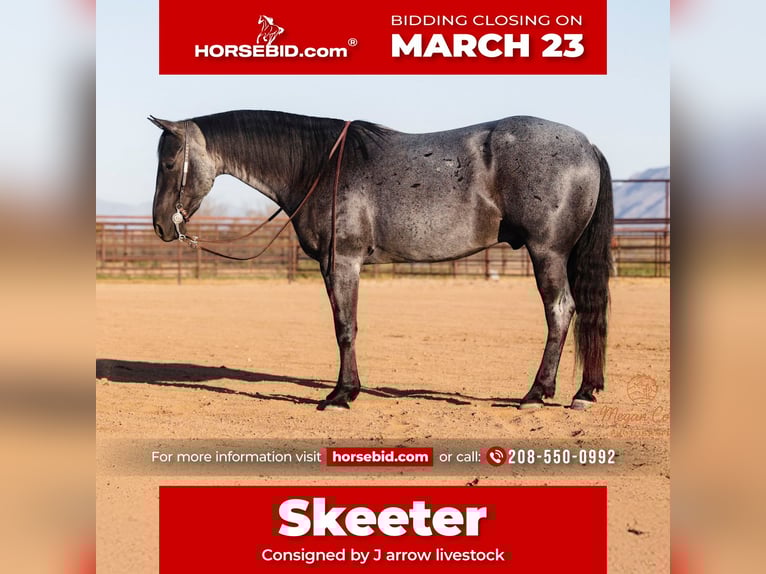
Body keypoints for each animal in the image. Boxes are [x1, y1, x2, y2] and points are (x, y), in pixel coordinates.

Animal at [149, 110, 613, 411]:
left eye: (169, 162)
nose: (160, 225)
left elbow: (345, 328)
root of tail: (588, 146)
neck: (318, 166)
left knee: (560, 311)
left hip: (547, 252)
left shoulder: (341, 263)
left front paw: (341, 395)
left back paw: (537, 393)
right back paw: (583, 392)